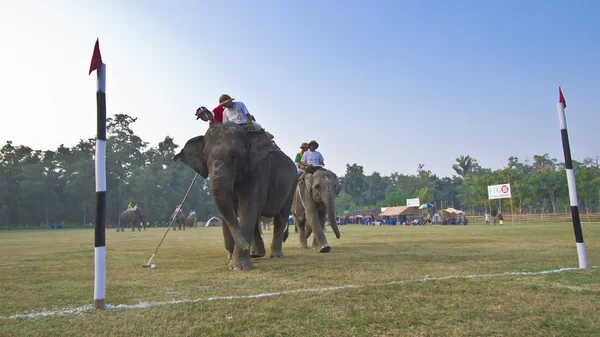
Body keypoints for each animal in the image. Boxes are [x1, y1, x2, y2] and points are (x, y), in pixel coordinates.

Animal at [173, 122, 298, 270]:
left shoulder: (258, 170)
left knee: (280, 217)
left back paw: (275, 255)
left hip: (292, 185)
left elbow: (248, 207)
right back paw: (256, 254)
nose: (245, 246)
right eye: (205, 158)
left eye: (234, 155)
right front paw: (233, 257)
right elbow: (228, 211)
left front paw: (238, 267)